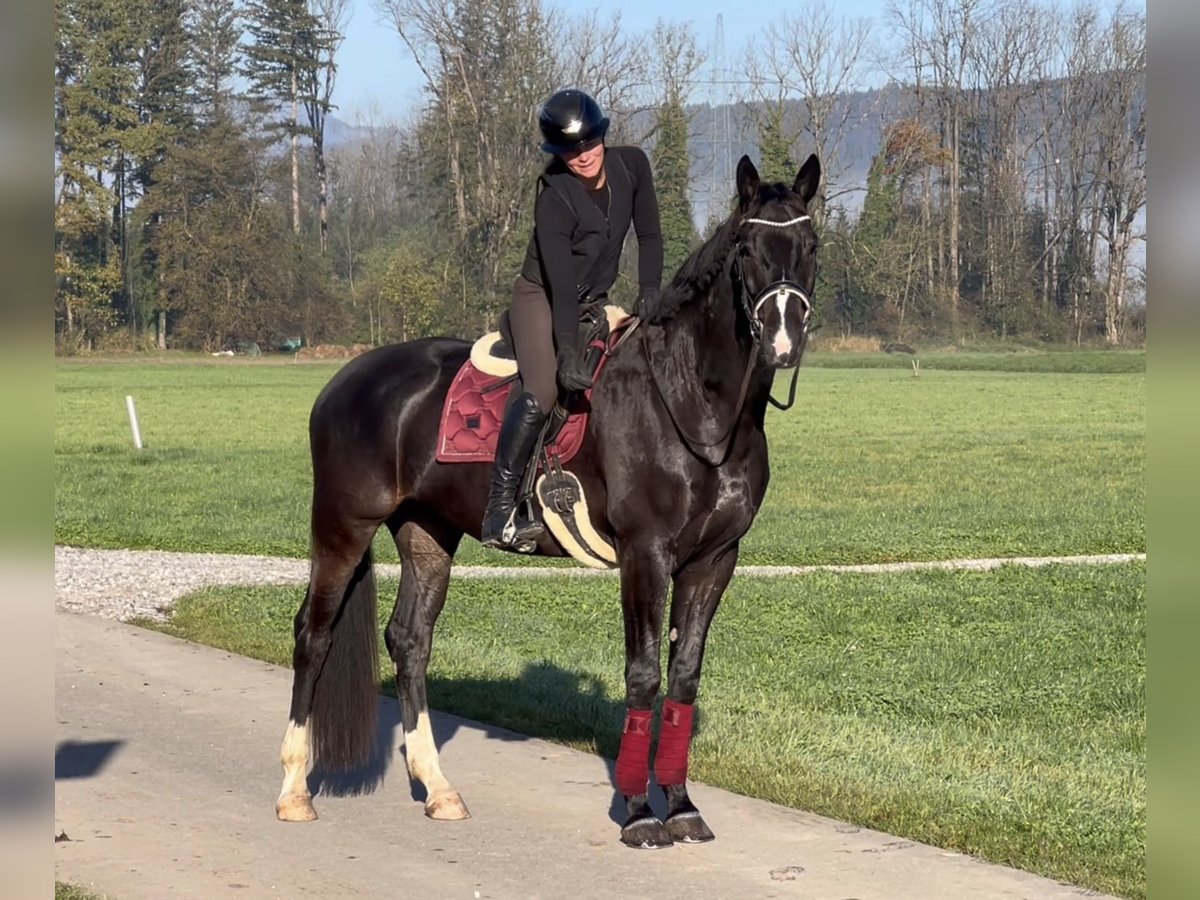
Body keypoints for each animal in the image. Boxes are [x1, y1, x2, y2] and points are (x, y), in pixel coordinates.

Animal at [276, 151, 820, 849]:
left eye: (810, 246)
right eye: (747, 249)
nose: (782, 339)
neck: (694, 404)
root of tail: (344, 379)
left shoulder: (714, 560)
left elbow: (683, 677)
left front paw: (680, 802)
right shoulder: (646, 556)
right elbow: (643, 674)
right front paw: (639, 812)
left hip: (426, 534)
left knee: (410, 641)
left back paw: (439, 788)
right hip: (343, 524)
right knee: (313, 634)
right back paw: (294, 790)